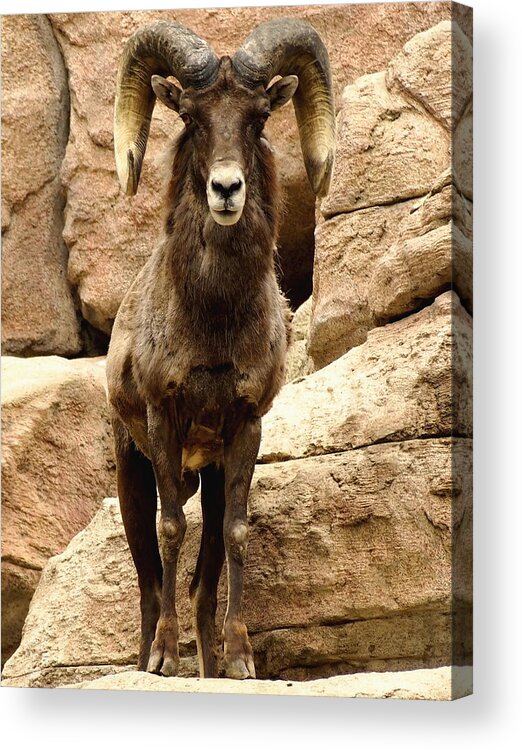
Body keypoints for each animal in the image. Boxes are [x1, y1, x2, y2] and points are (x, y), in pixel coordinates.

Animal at [105, 17, 334, 680]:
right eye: (191, 116)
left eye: (257, 119)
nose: (226, 188)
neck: (214, 323)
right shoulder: (164, 419)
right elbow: (170, 531)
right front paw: (164, 659)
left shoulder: (242, 428)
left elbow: (234, 533)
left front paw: (240, 660)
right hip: (133, 471)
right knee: (149, 580)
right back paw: (149, 660)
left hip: (203, 472)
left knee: (200, 588)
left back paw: (208, 664)